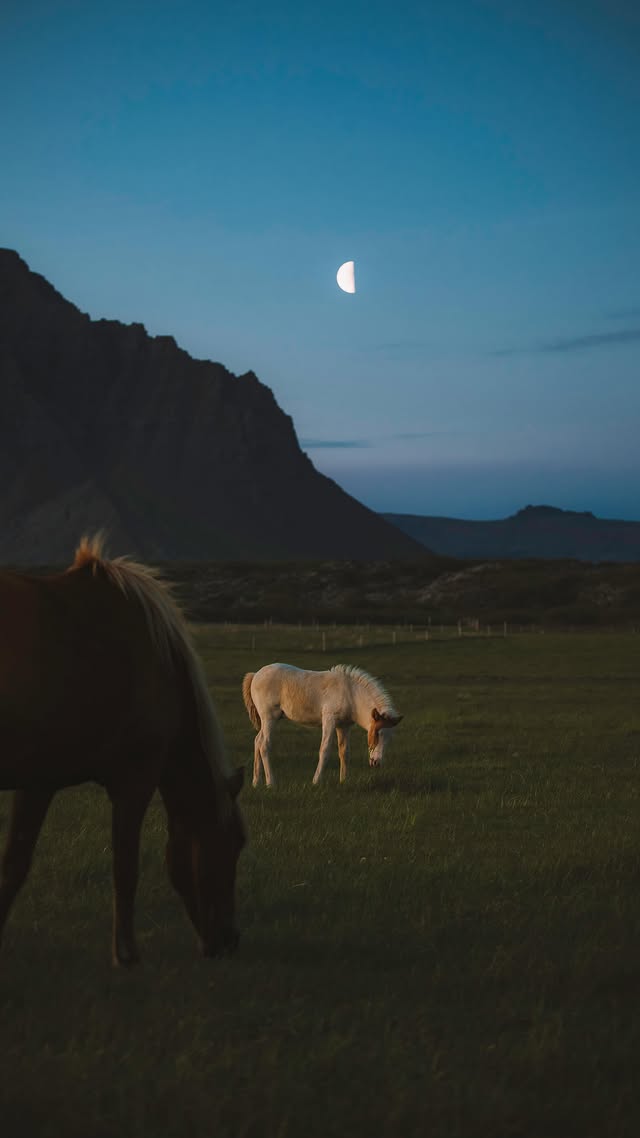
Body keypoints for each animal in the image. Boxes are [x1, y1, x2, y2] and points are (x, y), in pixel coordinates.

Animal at [0, 534, 246, 966]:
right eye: (234, 842)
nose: (229, 940)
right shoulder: (131, 780)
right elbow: (125, 866)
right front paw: (126, 953)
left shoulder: (37, 784)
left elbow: (13, 864)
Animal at [242, 663, 402, 787]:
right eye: (378, 733)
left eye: (390, 739)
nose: (376, 762)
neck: (351, 694)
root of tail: (255, 675)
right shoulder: (329, 720)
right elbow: (324, 750)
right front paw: (316, 781)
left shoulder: (343, 726)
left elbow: (344, 752)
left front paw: (343, 781)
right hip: (270, 718)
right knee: (264, 744)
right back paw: (271, 783)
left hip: (268, 720)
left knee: (257, 741)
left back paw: (256, 782)